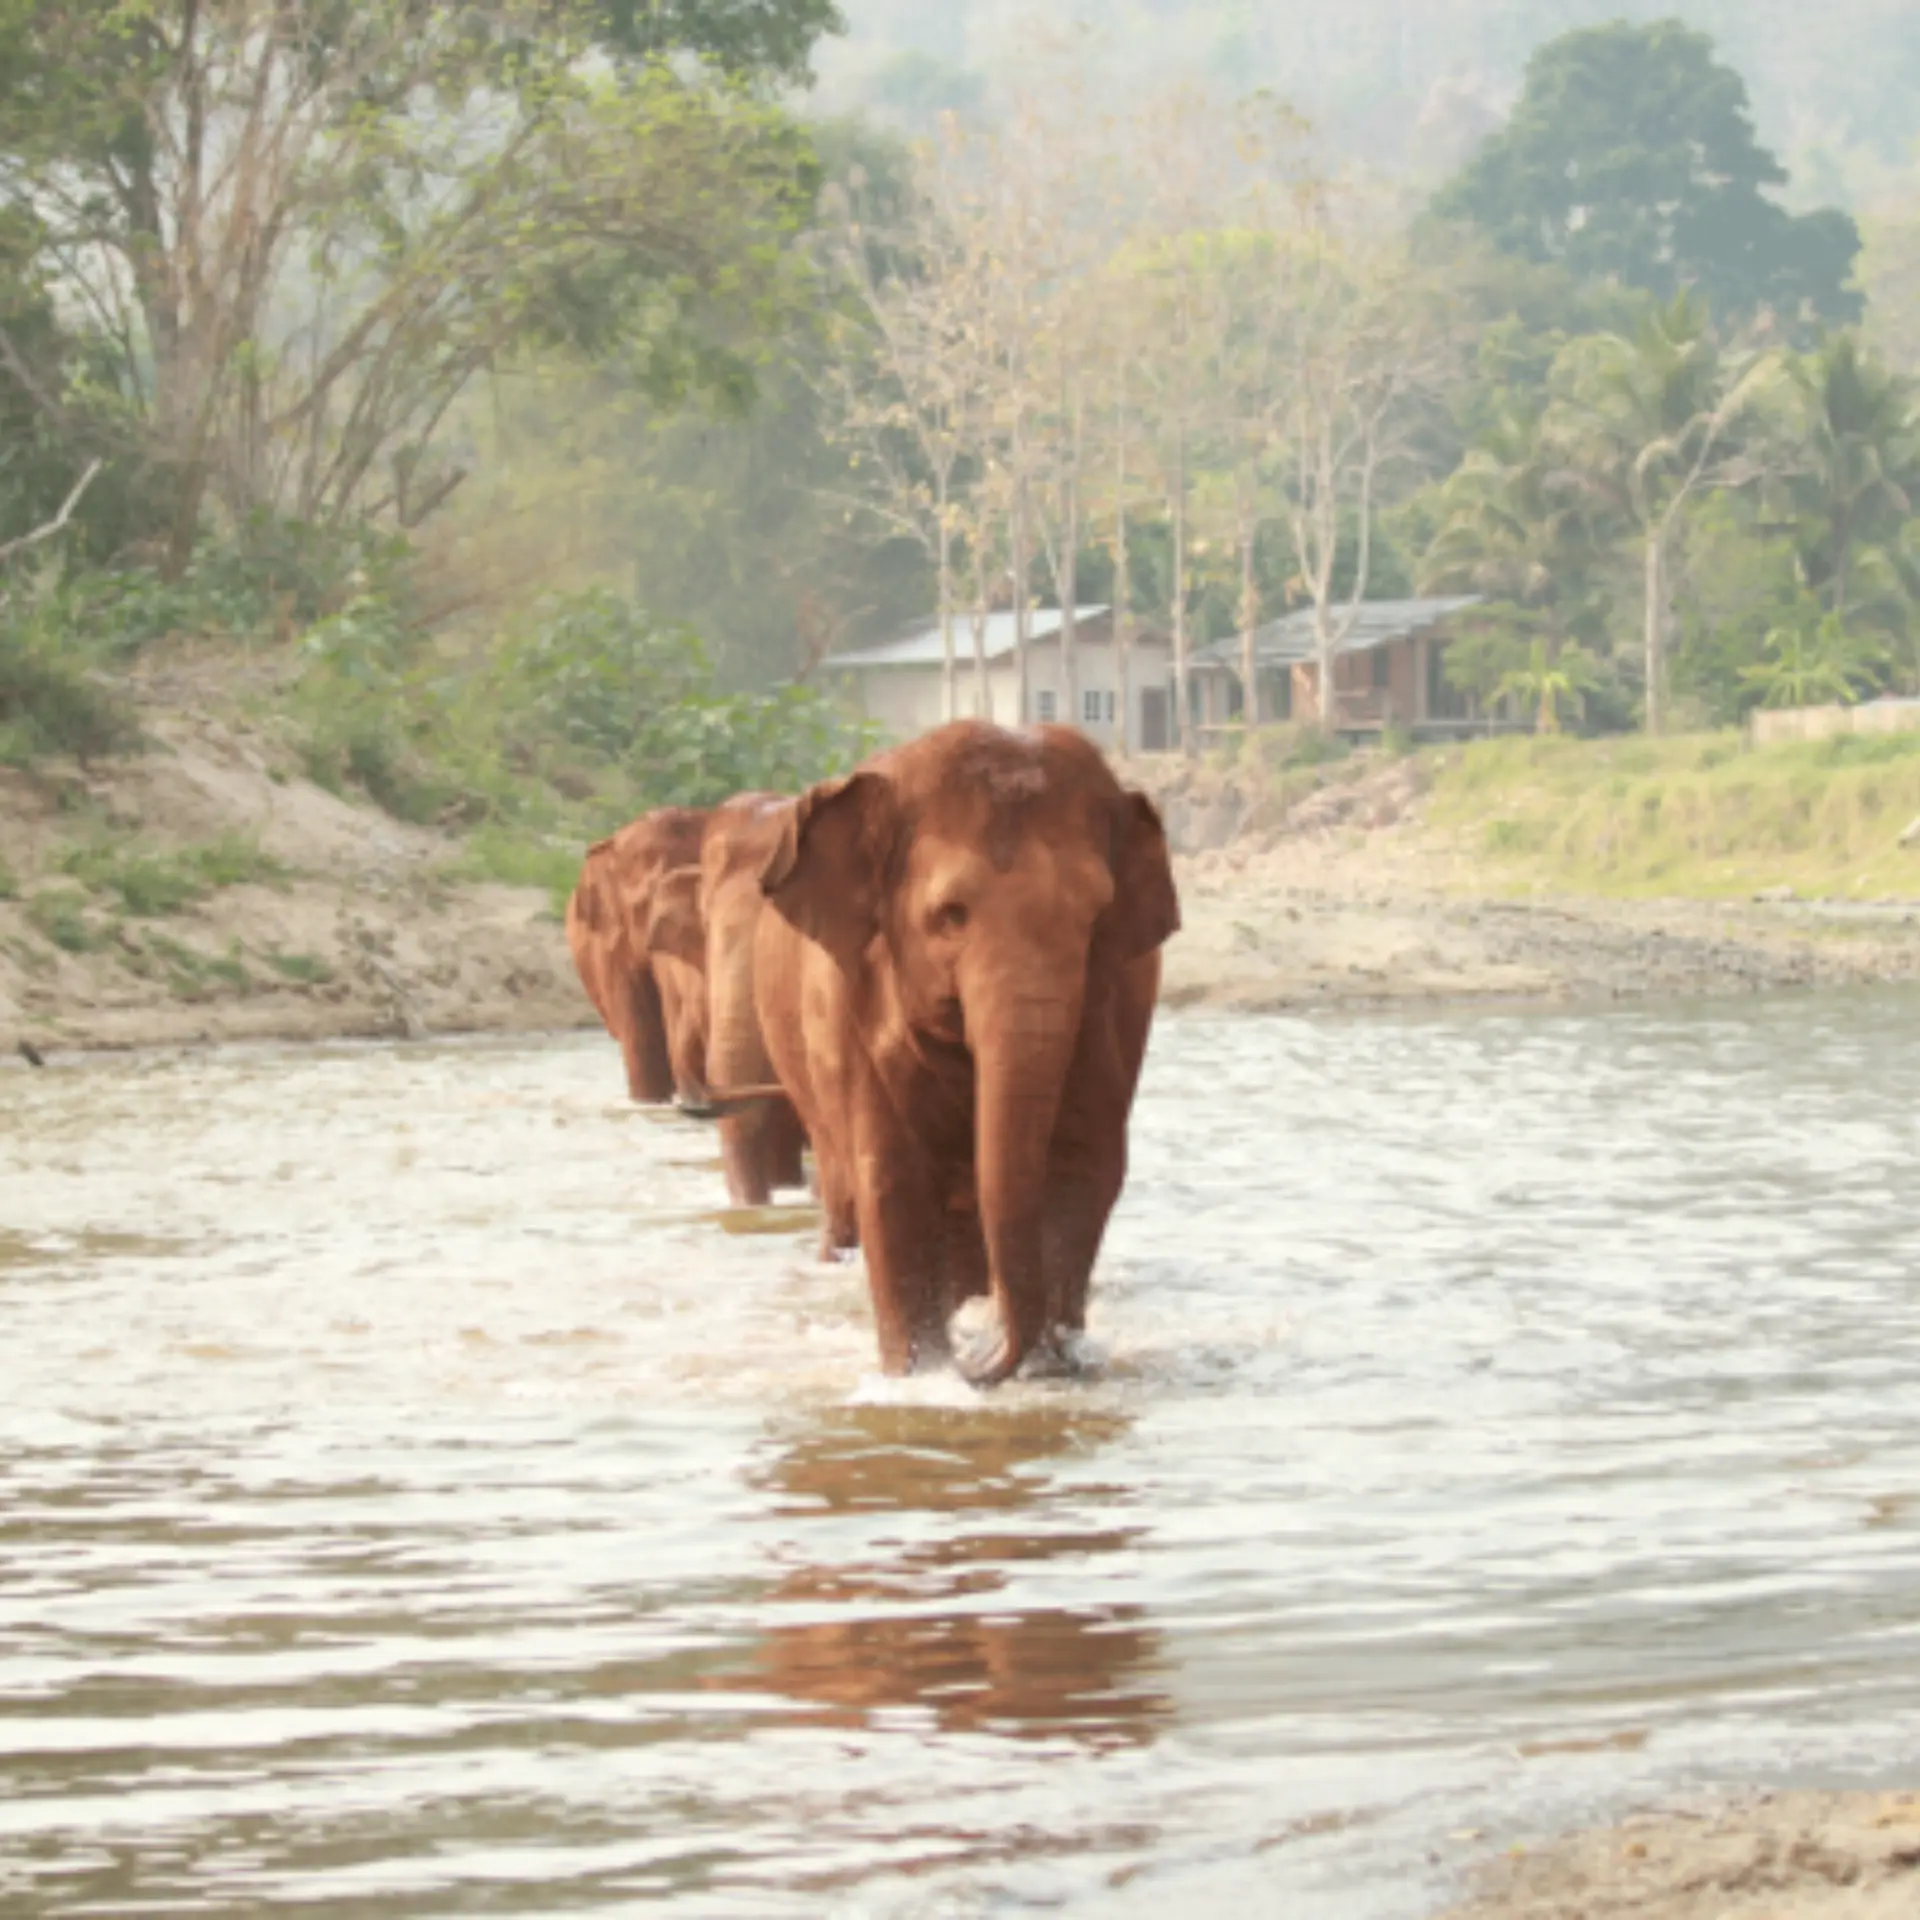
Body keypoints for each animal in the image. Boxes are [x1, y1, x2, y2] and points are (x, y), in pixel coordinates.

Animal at [754, 719, 1179, 1386]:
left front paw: (1048, 1363)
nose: (977, 1356)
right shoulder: (856, 1009)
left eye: (1094, 918)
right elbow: (893, 1181)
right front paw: (920, 1374)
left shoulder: (1107, 1009)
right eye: (951, 915)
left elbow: (1081, 1167)